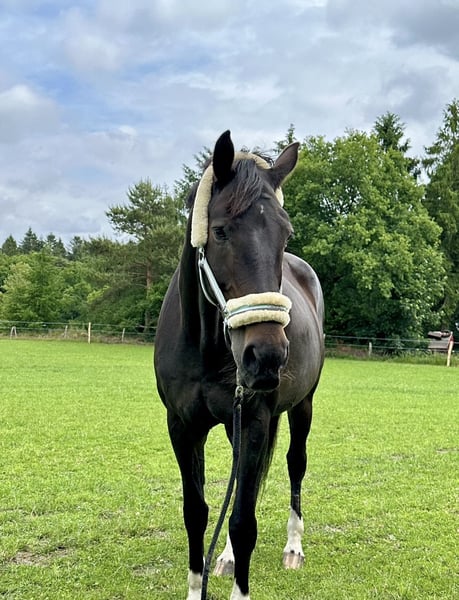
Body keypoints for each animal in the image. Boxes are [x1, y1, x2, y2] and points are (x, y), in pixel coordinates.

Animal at [154, 130, 324, 600]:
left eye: (285, 233)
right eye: (219, 231)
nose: (266, 356)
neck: (207, 348)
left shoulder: (254, 419)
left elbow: (244, 521)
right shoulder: (182, 426)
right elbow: (196, 512)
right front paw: (199, 585)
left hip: (303, 406)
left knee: (295, 465)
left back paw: (293, 548)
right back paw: (227, 558)